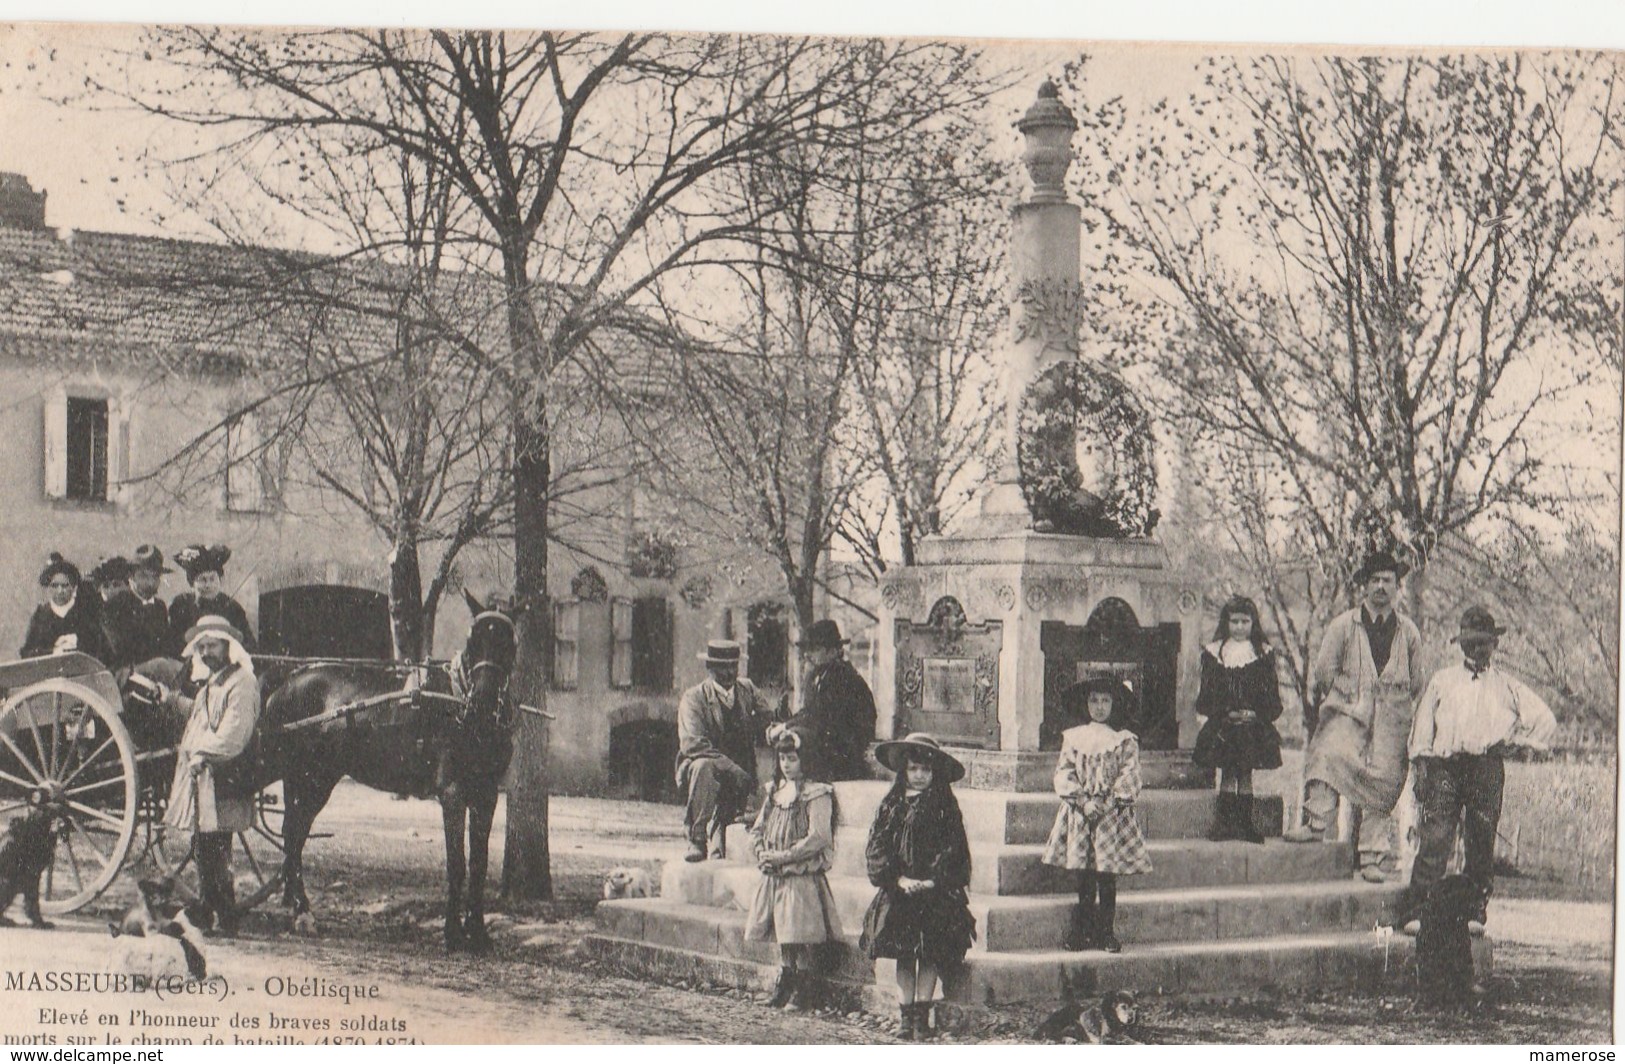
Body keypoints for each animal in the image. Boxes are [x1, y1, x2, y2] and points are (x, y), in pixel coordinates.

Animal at [0, 786, 70, 929]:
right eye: (51, 815)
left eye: (63, 814)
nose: (62, 825)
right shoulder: (31, 874)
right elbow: (32, 900)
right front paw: (39, 922)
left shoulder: (35, 874)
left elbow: (32, 900)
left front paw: (39, 921)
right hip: (8, 882)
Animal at [256, 594, 516, 955]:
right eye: (472, 640)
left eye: (508, 642)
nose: (483, 701)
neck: (459, 705)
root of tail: (289, 677)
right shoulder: (452, 792)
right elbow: (457, 863)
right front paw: (452, 933)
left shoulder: (486, 794)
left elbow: (479, 863)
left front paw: (477, 933)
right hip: (310, 778)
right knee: (293, 834)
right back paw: (302, 912)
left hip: (306, 777)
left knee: (293, 834)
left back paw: (296, 907)